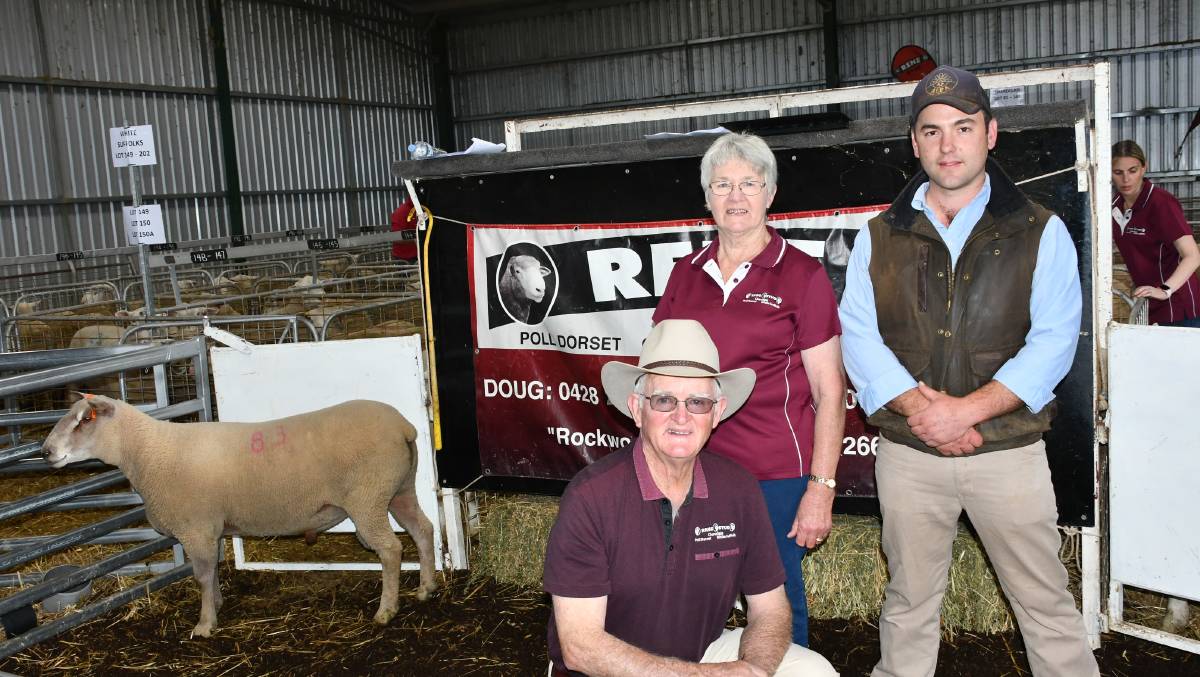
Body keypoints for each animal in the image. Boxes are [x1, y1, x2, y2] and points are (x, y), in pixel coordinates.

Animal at [42, 393, 439, 638]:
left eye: (84, 421)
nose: (45, 452)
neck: (147, 452)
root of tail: (404, 427)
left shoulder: (196, 526)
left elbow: (202, 575)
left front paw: (205, 624)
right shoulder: (210, 527)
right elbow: (213, 570)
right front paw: (216, 605)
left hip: (368, 498)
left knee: (390, 550)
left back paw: (386, 610)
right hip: (399, 490)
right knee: (423, 530)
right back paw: (426, 588)